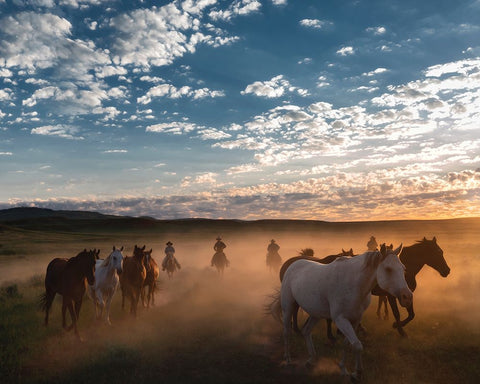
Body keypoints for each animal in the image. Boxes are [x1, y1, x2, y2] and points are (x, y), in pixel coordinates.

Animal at [282, 244, 412, 380]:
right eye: (388, 269)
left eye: (403, 269)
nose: (407, 297)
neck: (354, 284)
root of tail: (293, 265)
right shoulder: (340, 319)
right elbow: (357, 345)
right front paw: (357, 373)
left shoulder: (355, 319)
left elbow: (347, 344)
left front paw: (344, 369)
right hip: (288, 307)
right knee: (286, 332)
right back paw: (288, 359)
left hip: (315, 314)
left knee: (306, 331)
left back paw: (311, 360)